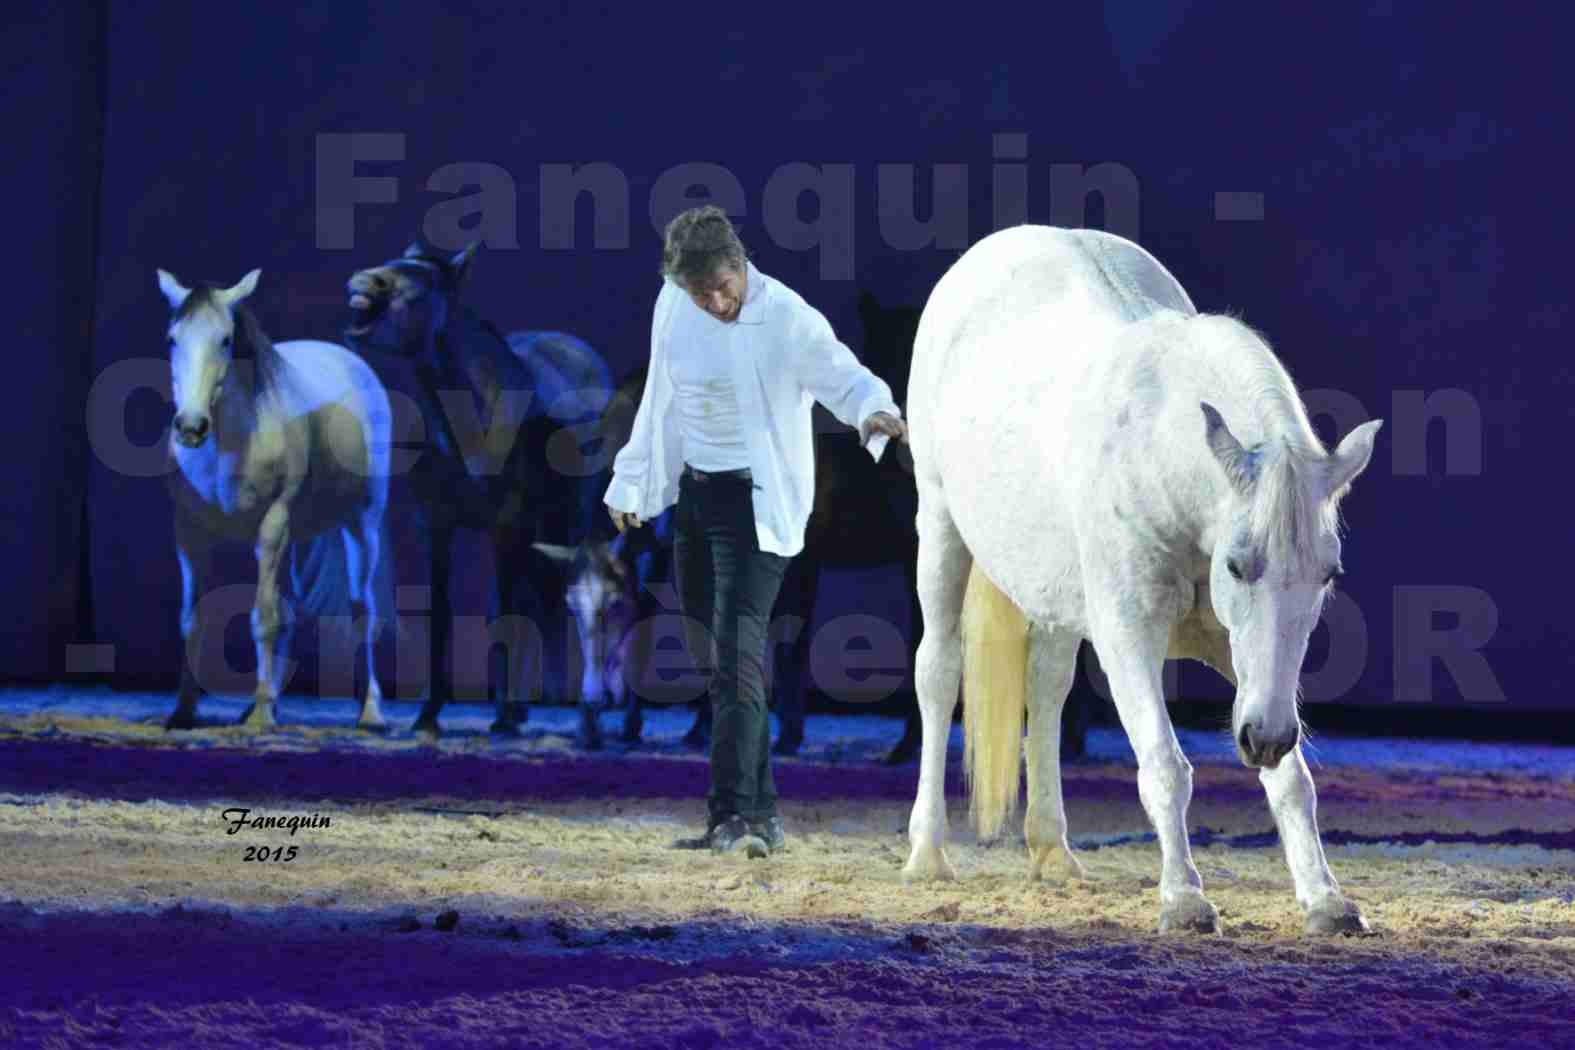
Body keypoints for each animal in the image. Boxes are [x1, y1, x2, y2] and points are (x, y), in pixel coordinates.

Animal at [159, 267, 393, 736]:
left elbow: (262, 620)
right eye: (174, 339)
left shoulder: (272, 526)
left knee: (363, 609)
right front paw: (184, 712)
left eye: (225, 339)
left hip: (362, 524)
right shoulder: (189, 533)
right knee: (288, 614)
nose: (191, 427)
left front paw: (262, 715)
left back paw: (369, 712)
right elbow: (193, 619)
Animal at [346, 244, 614, 739]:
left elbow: (506, 614)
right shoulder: (438, 526)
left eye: (421, 286)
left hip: (570, 515)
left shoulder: (503, 526)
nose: (362, 282)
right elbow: (443, 613)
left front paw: (505, 715)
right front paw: (429, 713)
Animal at [907, 228, 1386, 938]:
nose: (1264, 738)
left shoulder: (1242, 659)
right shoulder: (1128, 637)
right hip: (940, 523)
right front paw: (1183, 899)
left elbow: (1291, 780)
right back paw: (927, 853)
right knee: (937, 674)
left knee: (1045, 687)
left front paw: (1325, 898)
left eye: (1327, 574)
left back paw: (1052, 851)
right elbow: (1164, 762)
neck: (1158, 460)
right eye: (1238, 565)